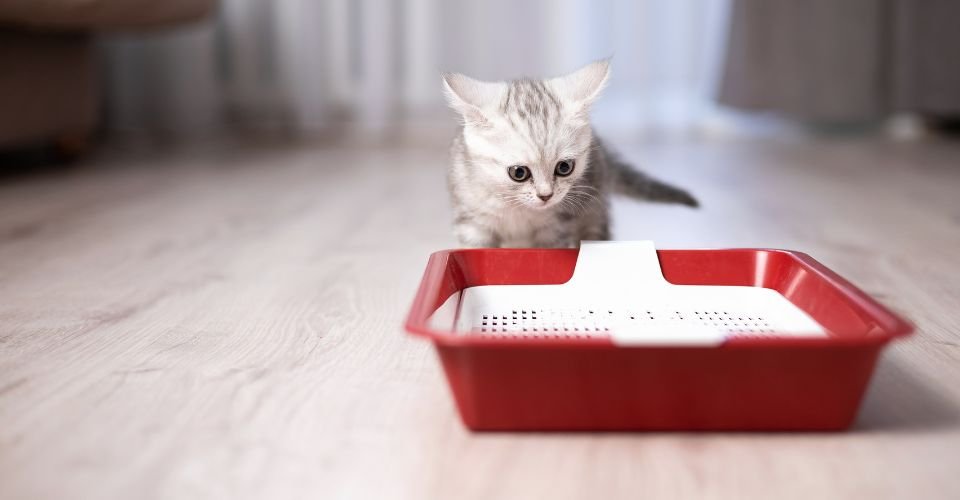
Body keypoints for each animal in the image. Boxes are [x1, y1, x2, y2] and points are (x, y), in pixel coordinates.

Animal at [442, 60, 696, 248]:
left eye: (564, 168)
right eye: (519, 173)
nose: (546, 195)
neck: (518, 211)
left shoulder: (556, 227)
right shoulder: (472, 224)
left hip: (594, 213)